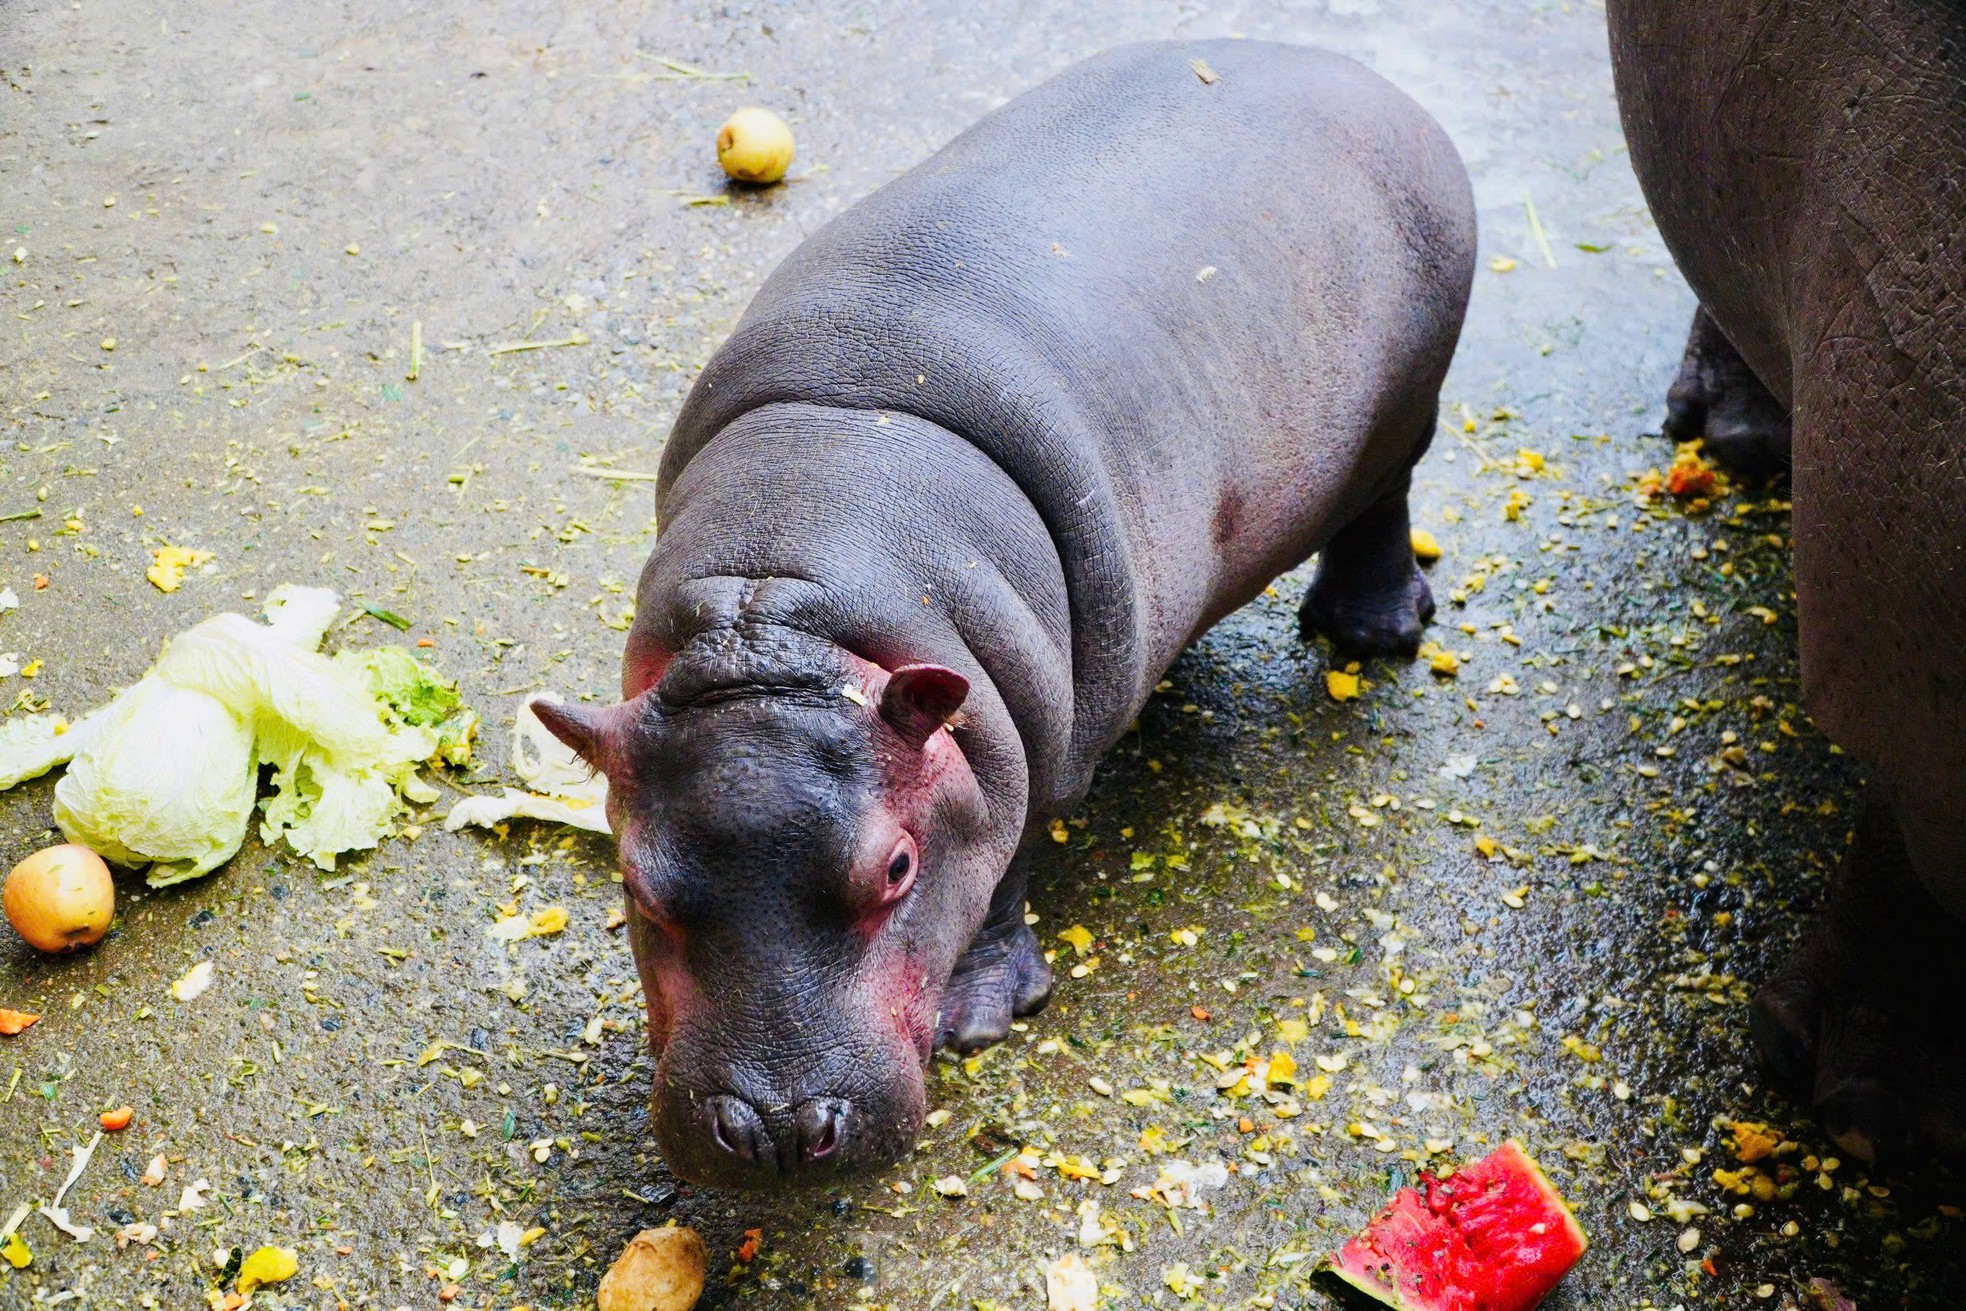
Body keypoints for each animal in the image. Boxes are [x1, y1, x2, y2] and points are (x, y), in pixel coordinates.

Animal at [538, 43, 1478, 1187]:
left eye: (897, 867)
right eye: (634, 880)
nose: (772, 1131)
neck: (791, 606)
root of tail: (1353, 69)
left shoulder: (1019, 753)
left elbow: (998, 872)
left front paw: (977, 1019)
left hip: (1406, 408)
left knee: (1384, 499)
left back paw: (1367, 633)